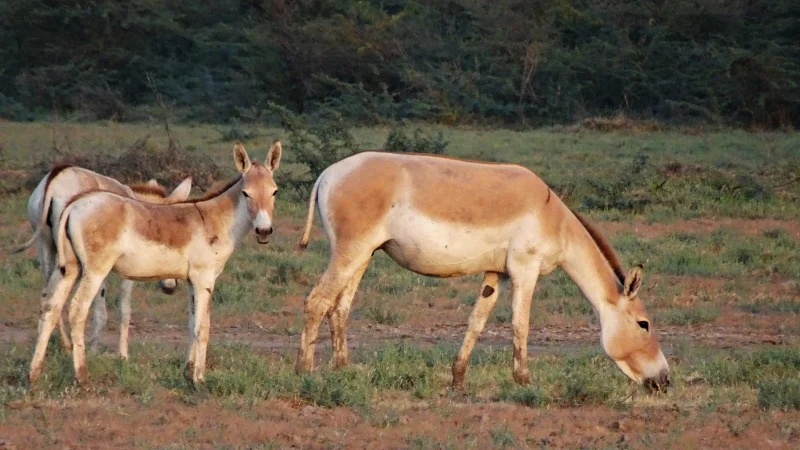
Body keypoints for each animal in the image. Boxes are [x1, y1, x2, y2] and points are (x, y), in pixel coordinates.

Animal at [29, 142, 282, 386]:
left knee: (50, 306)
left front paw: (187, 372)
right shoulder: (204, 279)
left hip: (68, 267)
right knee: (76, 310)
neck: (213, 221)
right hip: (94, 270)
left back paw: (34, 374)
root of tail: (74, 204)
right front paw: (199, 379)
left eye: (274, 192)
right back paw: (81, 376)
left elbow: (191, 323)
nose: (264, 231)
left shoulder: (191, 281)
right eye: (246, 193)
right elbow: (203, 327)